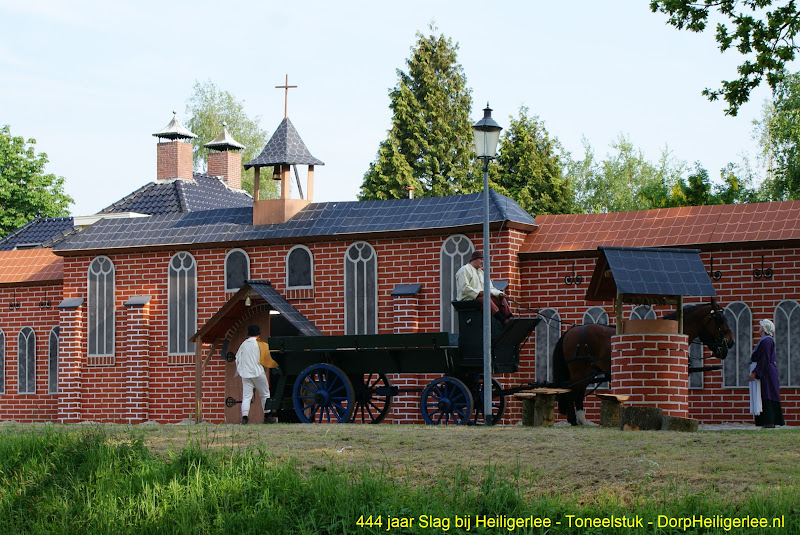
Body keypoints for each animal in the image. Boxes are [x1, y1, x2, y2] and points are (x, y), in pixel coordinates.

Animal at [552, 304, 736, 426]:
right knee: (574, 391)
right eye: (720, 320)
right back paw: (578, 420)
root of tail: (571, 331)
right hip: (580, 372)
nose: (731, 342)